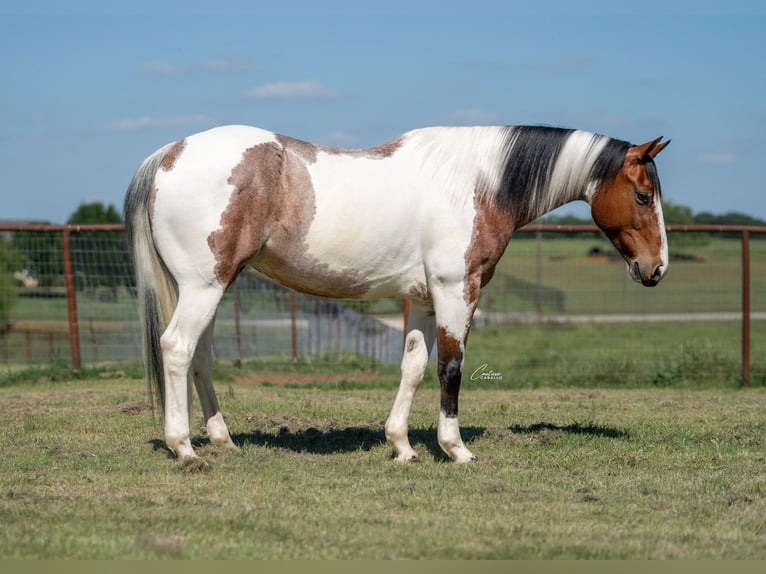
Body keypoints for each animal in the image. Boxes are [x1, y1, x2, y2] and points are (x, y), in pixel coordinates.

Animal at [124, 124, 670, 464]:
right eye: (643, 195)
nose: (657, 268)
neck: (475, 182)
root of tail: (169, 153)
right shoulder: (457, 292)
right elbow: (451, 366)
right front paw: (456, 449)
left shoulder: (425, 300)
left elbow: (412, 367)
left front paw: (402, 447)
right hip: (203, 286)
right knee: (177, 348)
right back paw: (184, 447)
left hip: (213, 287)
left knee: (200, 356)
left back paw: (222, 440)